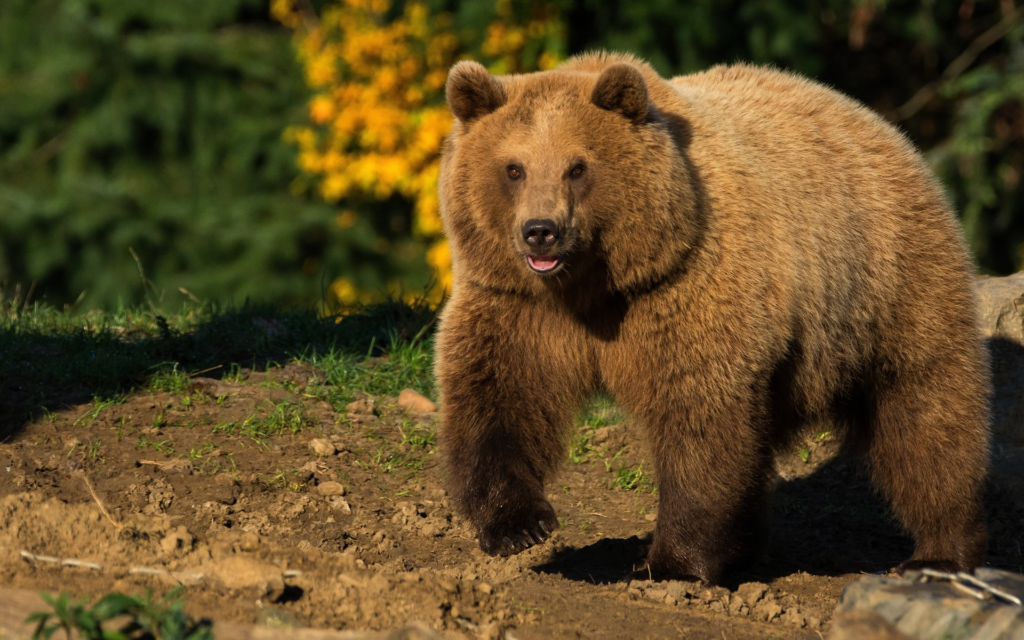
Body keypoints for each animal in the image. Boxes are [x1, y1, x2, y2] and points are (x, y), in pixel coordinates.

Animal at [434, 52, 991, 581]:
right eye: (513, 168)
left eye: (578, 166)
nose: (540, 231)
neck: (594, 285)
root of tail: (876, 122)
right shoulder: (517, 304)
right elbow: (499, 396)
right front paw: (519, 526)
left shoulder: (684, 288)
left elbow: (700, 413)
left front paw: (670, 561)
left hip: (888, 286)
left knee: (926, 414)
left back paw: (940, 552)